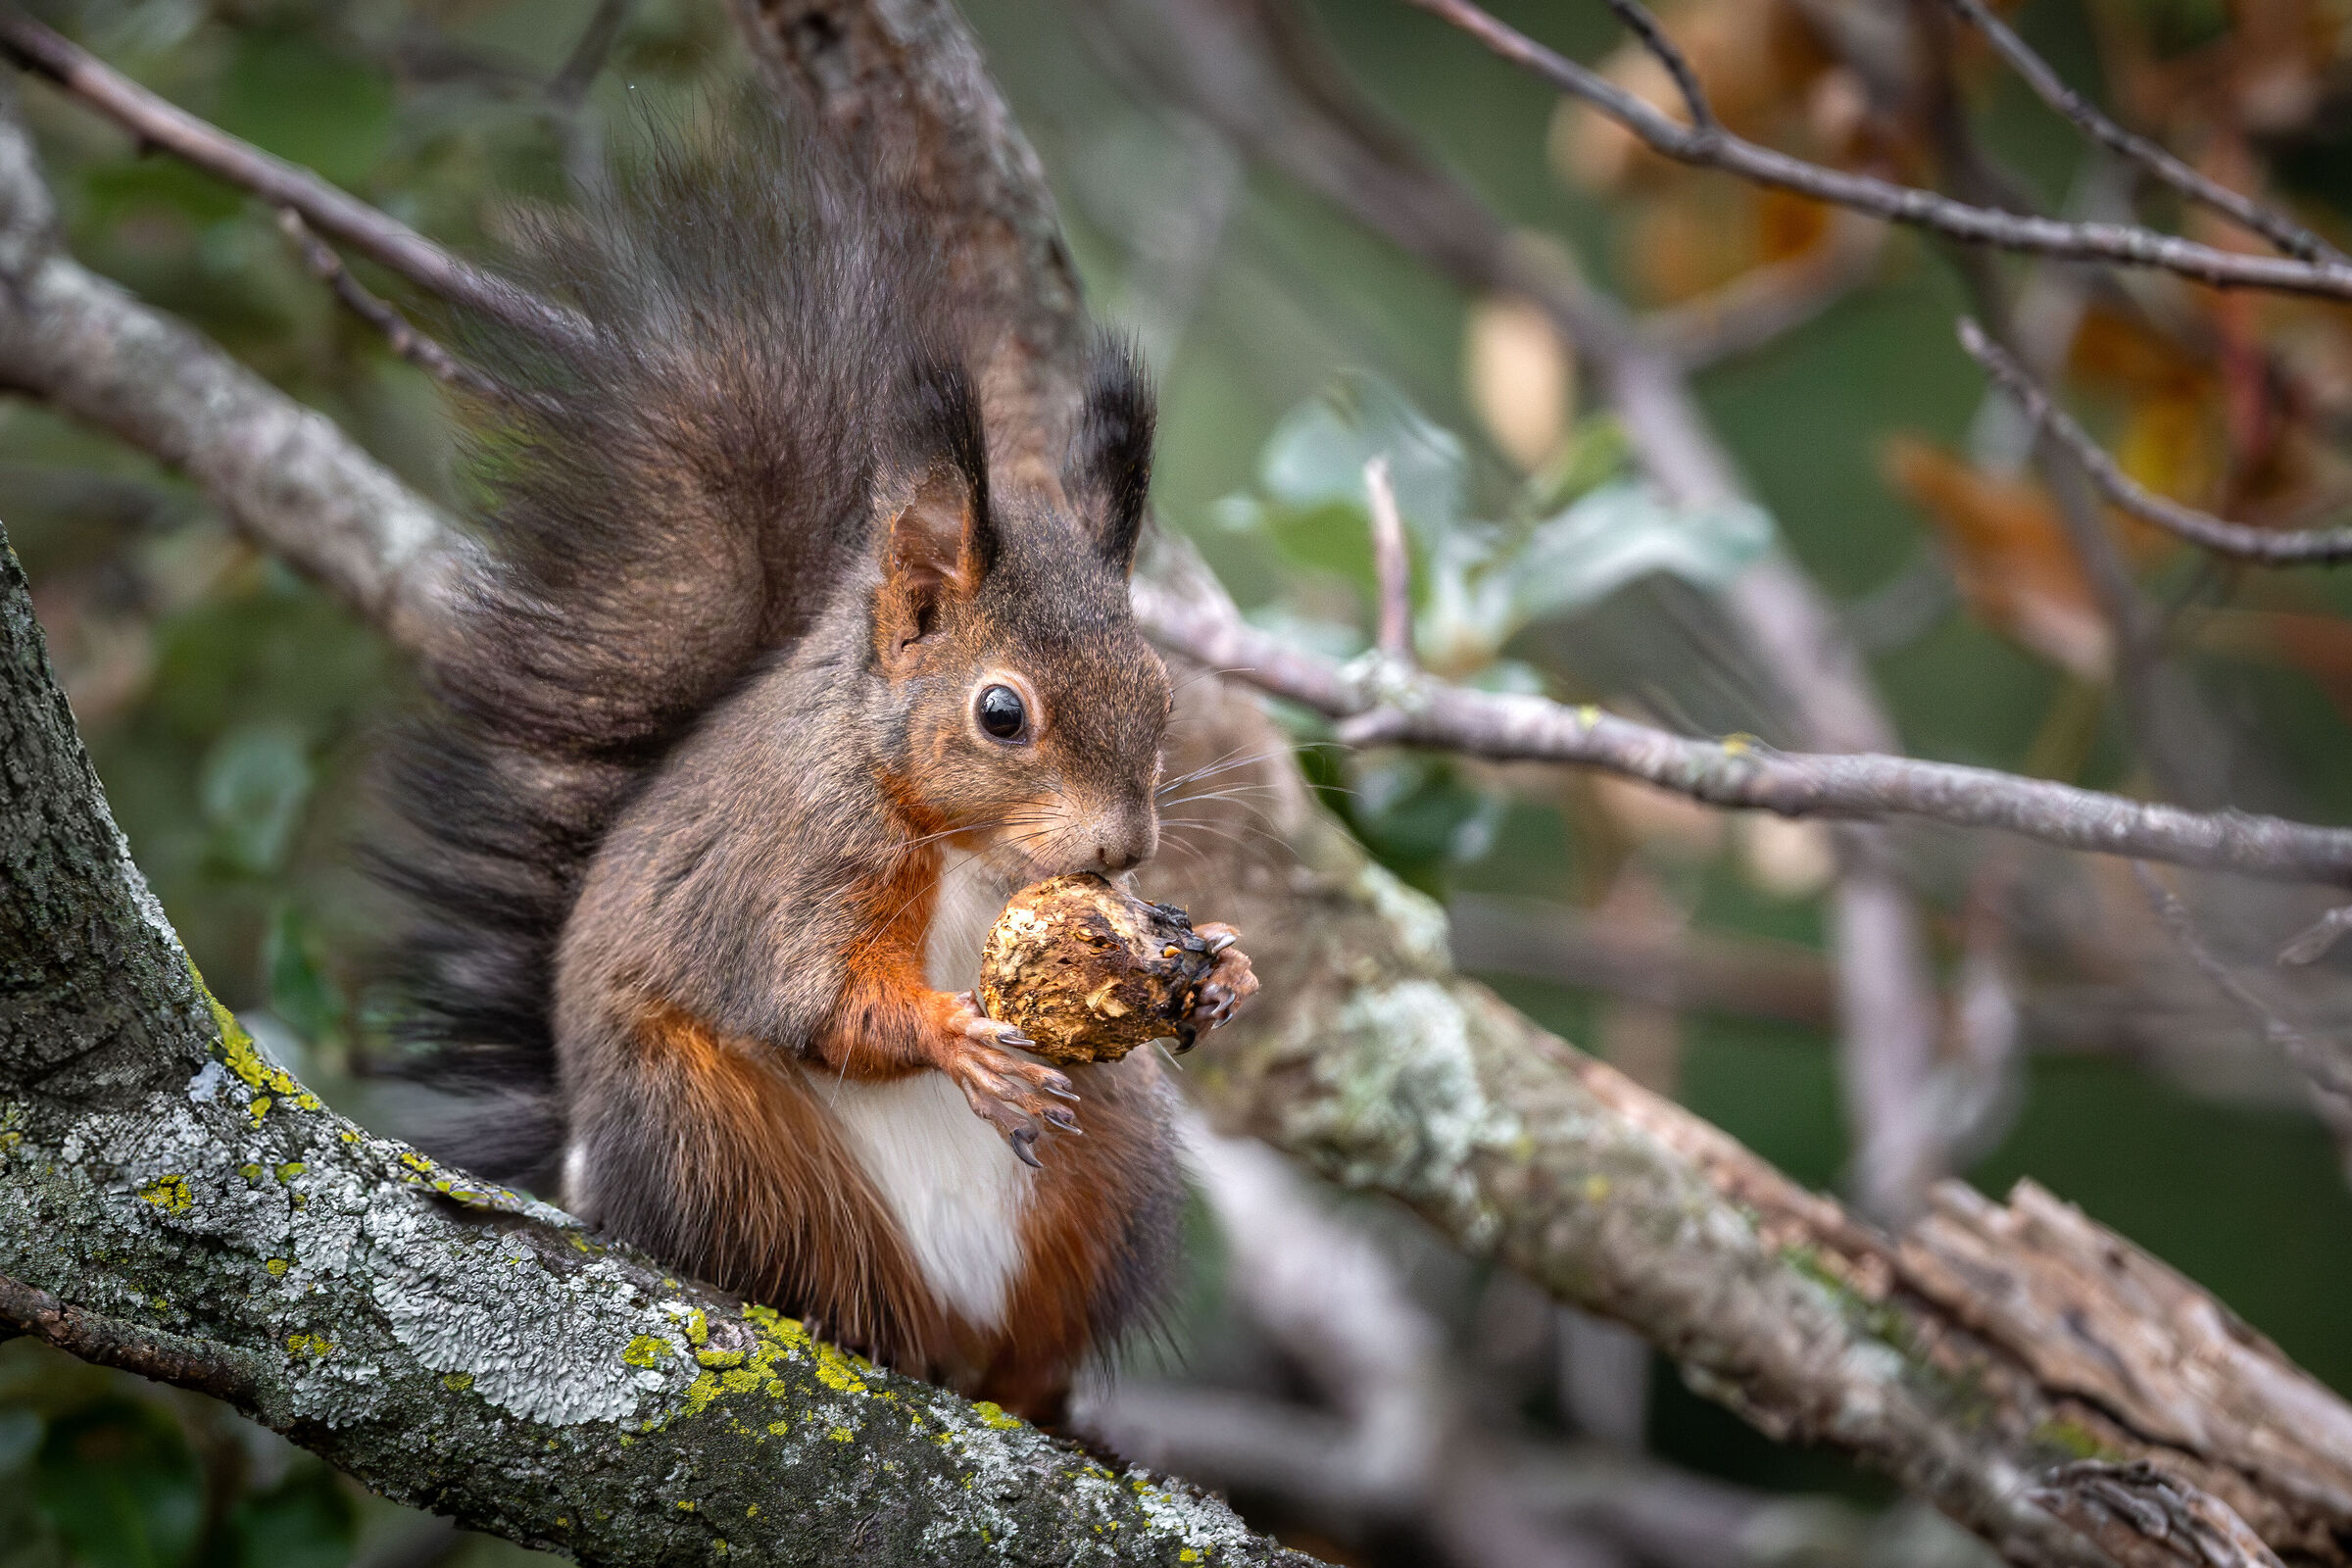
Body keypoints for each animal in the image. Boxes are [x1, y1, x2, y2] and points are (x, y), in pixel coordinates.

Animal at [373, 106, 1256, 1426]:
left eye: (1160, 693)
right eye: (1003, 713)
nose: (1126, 845)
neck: (963, 850)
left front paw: (1221, 965)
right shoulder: (799, 871)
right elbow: (821, 997)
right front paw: (953, 1039)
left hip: (1114, 1165)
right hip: (707, 1138)